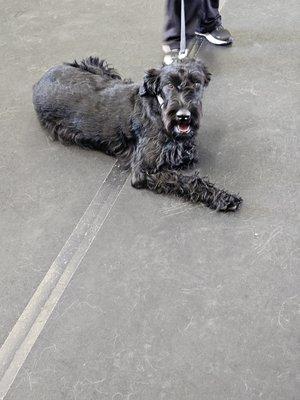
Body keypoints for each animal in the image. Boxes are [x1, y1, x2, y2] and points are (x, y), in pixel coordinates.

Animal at [34, 58, 243, 212]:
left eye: (196, 83)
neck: (158, 110)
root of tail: (40, 79)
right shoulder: (144, 171)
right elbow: (187, 180)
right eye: (169, 85)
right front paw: (223, 198)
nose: (183, 116)